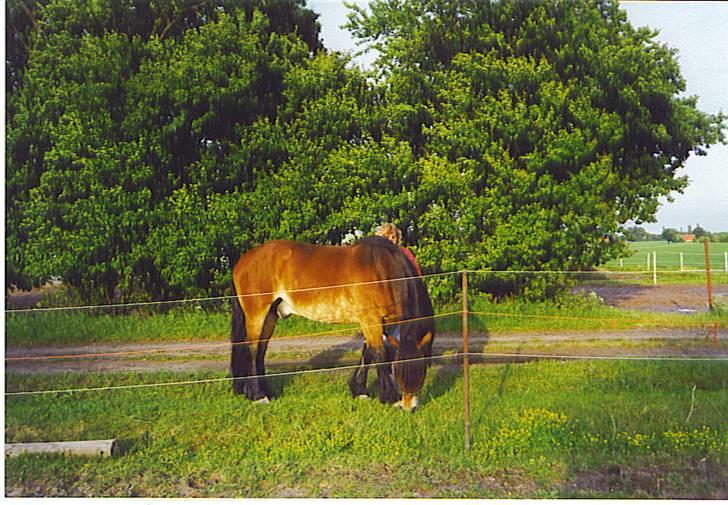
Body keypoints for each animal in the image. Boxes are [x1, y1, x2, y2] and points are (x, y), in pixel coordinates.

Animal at [229, 235, 432, 410]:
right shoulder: (370, 319)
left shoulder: (382, 321)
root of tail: (243, 260)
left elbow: (368, 353)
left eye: (422, 372)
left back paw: (265, 392)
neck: (381, 269)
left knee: (260, 352)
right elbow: (379, 355)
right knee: (252, 349)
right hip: (257, 314)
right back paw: (258, 396)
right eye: (399, 372)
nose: (409, 407)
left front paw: (360, 391)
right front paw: (390, 397)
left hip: (271, 315)